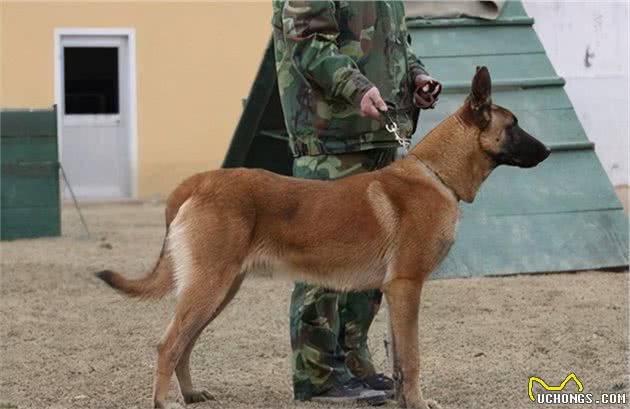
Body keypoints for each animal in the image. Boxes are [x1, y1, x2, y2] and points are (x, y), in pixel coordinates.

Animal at [96, 67, 552, 408]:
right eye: (514, 126)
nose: (548, 151)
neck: (435, 175)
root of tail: (197, 182)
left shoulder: (395, 293)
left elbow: (400, 360)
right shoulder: (407, 287)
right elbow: (413, 358)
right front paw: (419, 403)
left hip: (218, 290)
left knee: (185, 344)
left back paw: (190, 393)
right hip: (209, 287)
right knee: (168, 344)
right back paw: (164, 400)